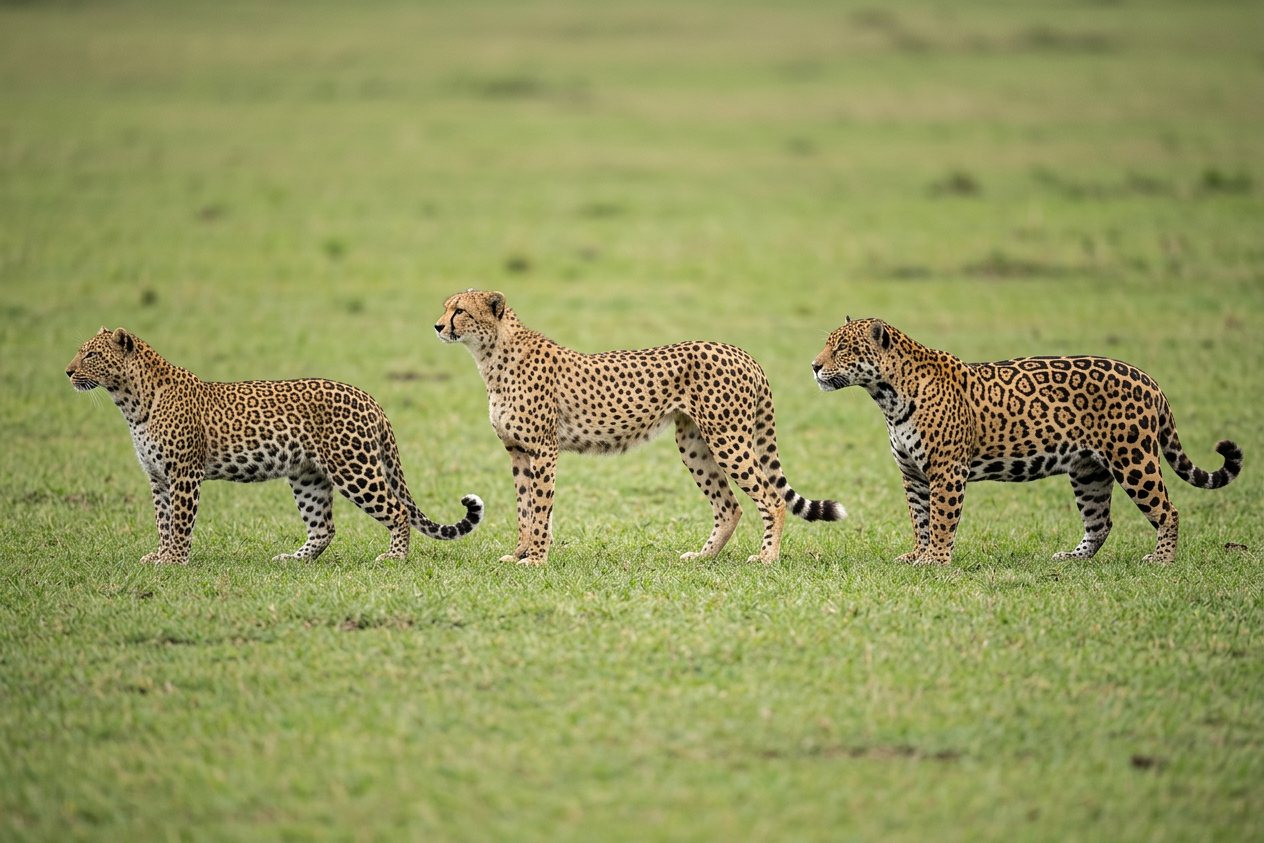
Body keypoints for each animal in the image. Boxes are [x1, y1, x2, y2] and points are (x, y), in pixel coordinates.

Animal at [66, 327, 483, 565]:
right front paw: (160, 554)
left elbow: (181, 521)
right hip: (308, 476)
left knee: (396, 509)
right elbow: (163, 521)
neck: (130, 401)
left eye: (91, 354)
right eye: (81, 351)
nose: (68, 371)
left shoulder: (183, 473)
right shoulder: (157, 477)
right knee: (324, 527)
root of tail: (370, 399)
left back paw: (394, 558)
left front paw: (174, 561)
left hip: (354, 468)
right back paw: (294, 559)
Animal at [435, 290, 845, 566]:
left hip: (727, 438)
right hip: (694, 443)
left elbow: (539, 508)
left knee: (771, 499)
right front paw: (519, 553)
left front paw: (535, 559)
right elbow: (524, 507)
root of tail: (741, 352)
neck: (492, 354)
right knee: (729, 507)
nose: (437, 325)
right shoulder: (518, 451)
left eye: (460, 310)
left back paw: (767, 557)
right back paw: (703, 556)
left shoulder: (543, 450)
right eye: (446, 306)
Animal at [812, 317, 1243, 565]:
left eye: (843, 348)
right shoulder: (913, 473)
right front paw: (917, 554)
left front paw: (936, 560)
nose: (814, 366)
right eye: (827, 344)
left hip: (1133, 459)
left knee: (1168, 510)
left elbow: (941, 519)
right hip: (1089, 471)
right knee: (1100, 521)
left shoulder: (946, 471)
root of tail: (1150, 380)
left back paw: (1161, 559)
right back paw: (1072, 558)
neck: (886, 394)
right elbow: (920, 518)